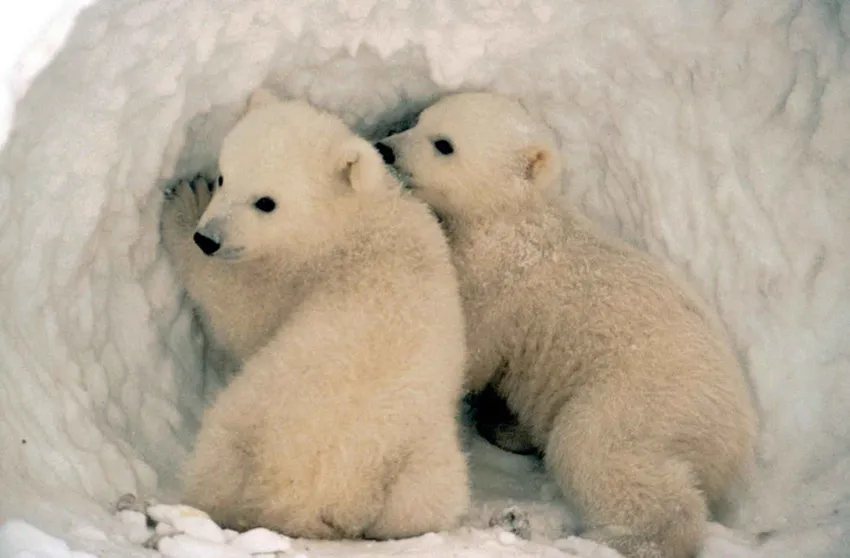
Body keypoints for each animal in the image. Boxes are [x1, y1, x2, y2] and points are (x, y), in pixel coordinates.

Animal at [161, 90, 471, 540]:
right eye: (224, 176)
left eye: (266, 202)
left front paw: (183, 204)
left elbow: (240, 313)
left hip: (248, 421)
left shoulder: (294, 275)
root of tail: (314, 499)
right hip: (418, 469)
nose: (208, 238)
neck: (351, 221)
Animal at [375, 91, 758, 558]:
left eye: (443, 143)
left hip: (645, 397)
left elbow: (468, 348)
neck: (511, 219)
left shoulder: (497, 282)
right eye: (418, 120)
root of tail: (737, 438)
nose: (386, 148)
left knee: (596, 449)